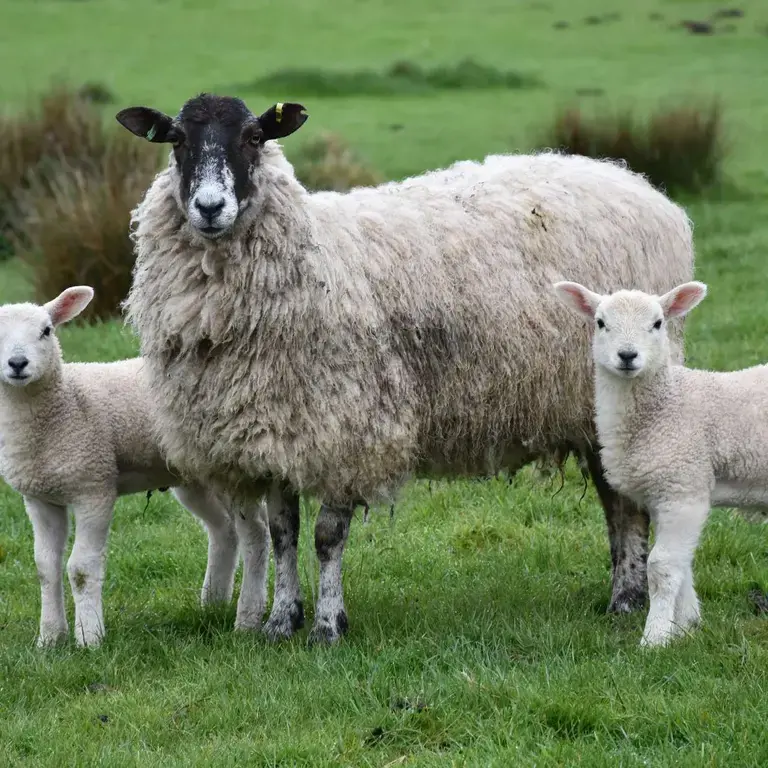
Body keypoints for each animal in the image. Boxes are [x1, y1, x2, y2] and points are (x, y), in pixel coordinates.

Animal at [0, 286, 270, 647]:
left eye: (46, 331)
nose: (17, 364)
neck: (64, 405)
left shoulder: (94, 488)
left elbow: (81, 568)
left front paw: (90, 638)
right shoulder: (40, 498)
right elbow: (45, 567)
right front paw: (50, 639)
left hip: (230, 468)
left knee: (255, 533)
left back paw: (248, 616)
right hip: (195, 479)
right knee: (224, 529)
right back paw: (213, 602)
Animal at [116, 93, 695, 644]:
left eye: (255, 136)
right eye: (175, 140)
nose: (210, 207)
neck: (315, 257)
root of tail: (638, 184)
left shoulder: (347, 427)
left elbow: (327, 538)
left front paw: (328, 626)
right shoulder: (278, 432)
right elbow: (284, 535)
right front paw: (281, 620)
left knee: (622, 503)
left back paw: (626, 598)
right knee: (615, 498)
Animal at [552, 278, 768, 647]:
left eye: (657, 323)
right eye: (600, 323)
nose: (627, 355)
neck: (667, 404)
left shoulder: (683, 487)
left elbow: (661, 566)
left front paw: (655, 638)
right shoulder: (660, 492)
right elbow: (682, 564)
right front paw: (685, 627)